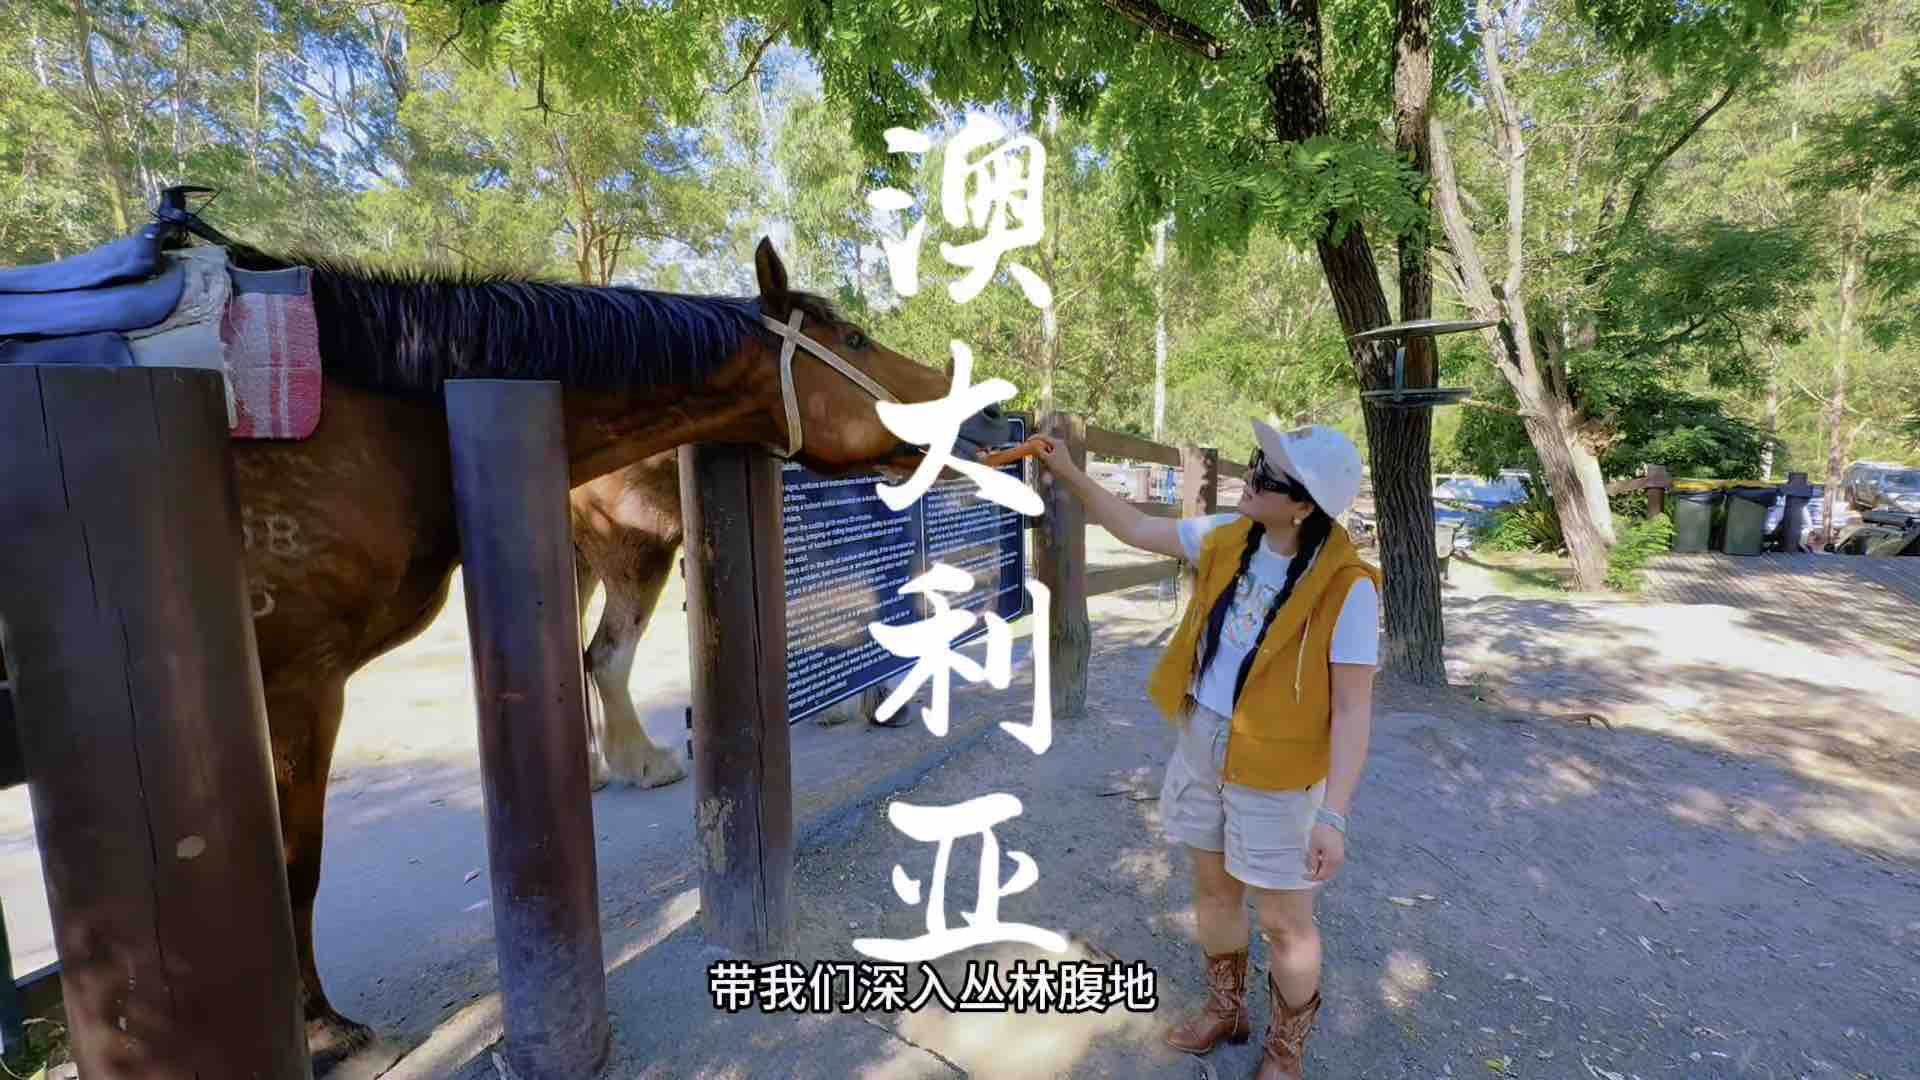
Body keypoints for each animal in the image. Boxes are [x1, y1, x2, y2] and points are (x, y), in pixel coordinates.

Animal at [1, 234, 1009, 1073]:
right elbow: (297, 860)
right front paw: (325, 1032)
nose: (972, 412)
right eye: (855, 336)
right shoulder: (295, 676)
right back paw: (636, 760)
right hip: (628, 551)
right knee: (602, 655)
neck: (384, 414)